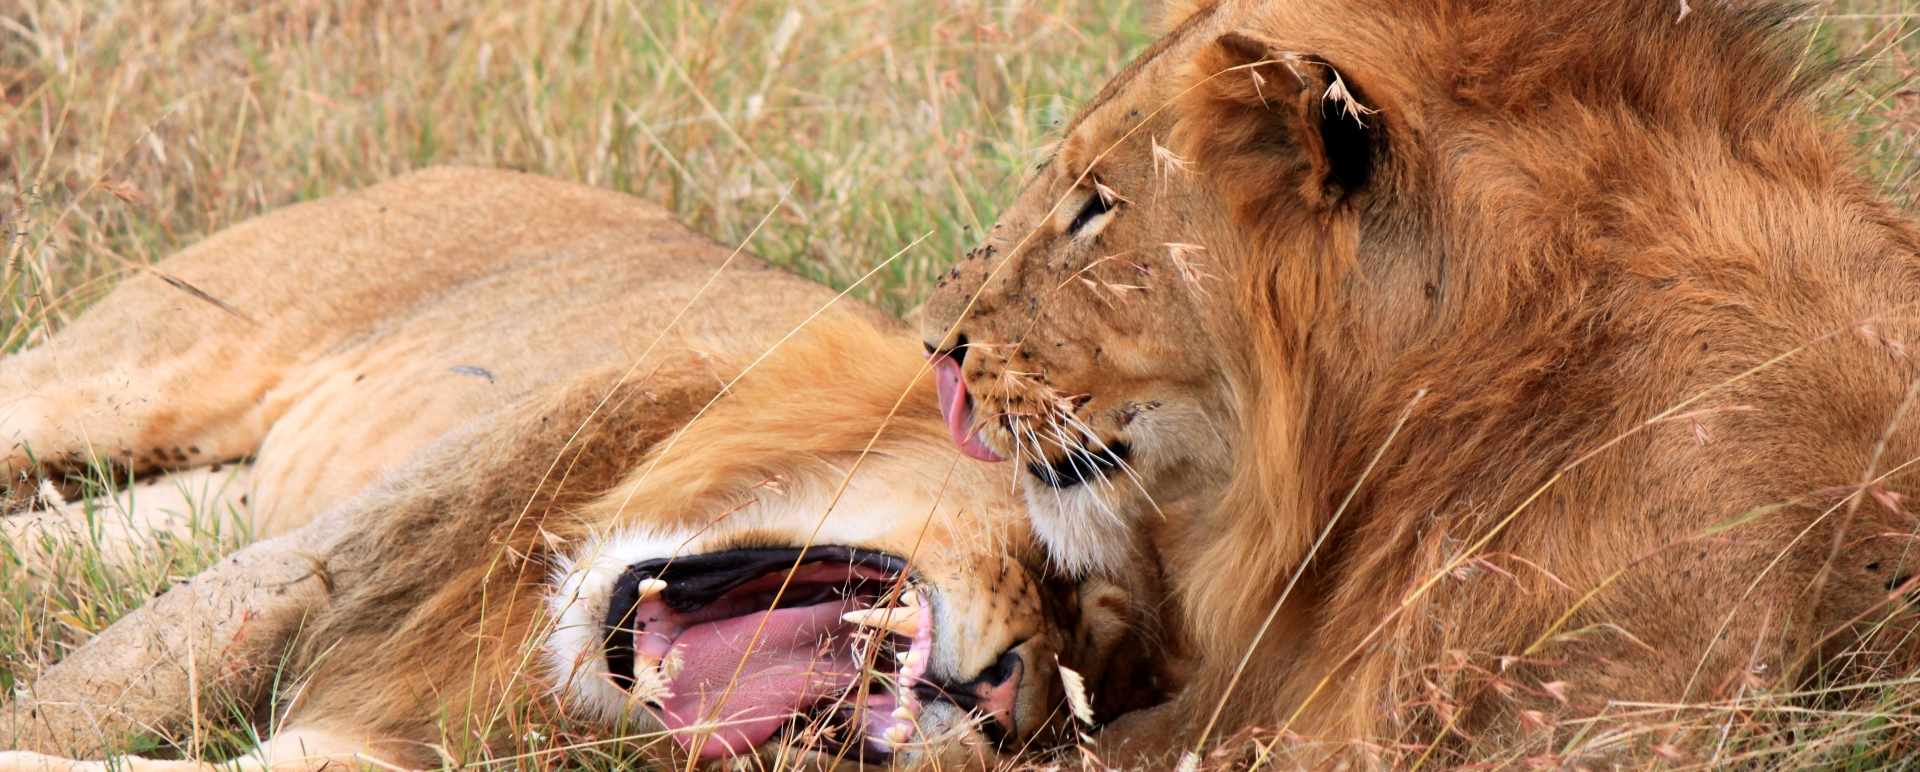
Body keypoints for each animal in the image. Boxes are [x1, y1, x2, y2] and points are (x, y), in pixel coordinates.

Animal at [0, 168, 1155, 769]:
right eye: (1049, 561)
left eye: (1058, 725)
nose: (1001, 699)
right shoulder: (305, 573)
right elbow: (61, 715)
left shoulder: (383, 739)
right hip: (121, 374)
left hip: (196, 499)